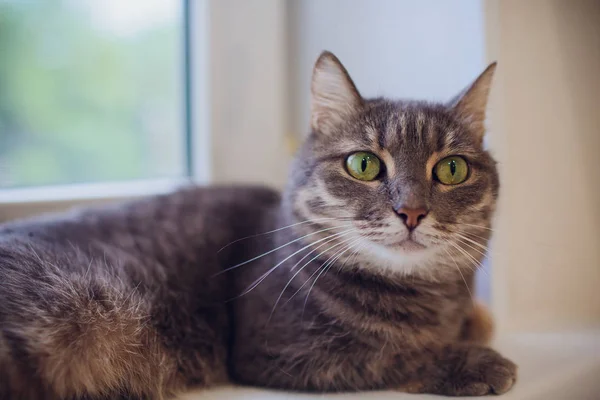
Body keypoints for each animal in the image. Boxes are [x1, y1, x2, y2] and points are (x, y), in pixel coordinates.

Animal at [0, 51, 516, 398]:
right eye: (364, 164)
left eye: (452, 169)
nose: (411, 211)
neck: (425, 301)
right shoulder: (276, 351)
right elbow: (391, 353)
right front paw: (475, 362)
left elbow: (475, 321)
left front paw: (475, 324)